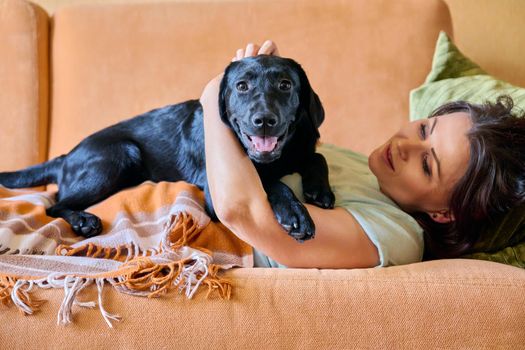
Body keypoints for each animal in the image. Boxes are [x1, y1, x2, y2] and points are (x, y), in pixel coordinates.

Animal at [0, 55, 334, 241]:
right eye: (242, 86)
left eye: (285, 85)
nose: (263, 120)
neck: (278, 158)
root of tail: (65, 156)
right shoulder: (216, 191)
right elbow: (272, 182)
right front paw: (295, 212)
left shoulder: (304, 147)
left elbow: (318, 157)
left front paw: (320, 189)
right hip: (120, 154)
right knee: (53, 204)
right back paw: (83, 221)